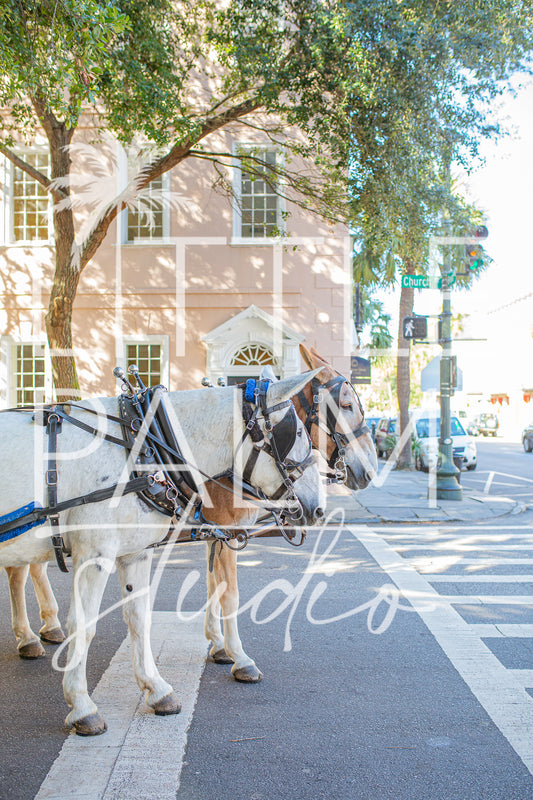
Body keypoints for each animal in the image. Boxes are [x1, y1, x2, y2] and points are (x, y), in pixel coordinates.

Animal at [0, 372, 324, 736]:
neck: (142, 444)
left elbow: (140, 618)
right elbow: (84, 625)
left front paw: (157, 689)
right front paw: (82, 706)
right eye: (297, 433)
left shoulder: (136, 552)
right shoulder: (95, 552)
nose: (319, 507)